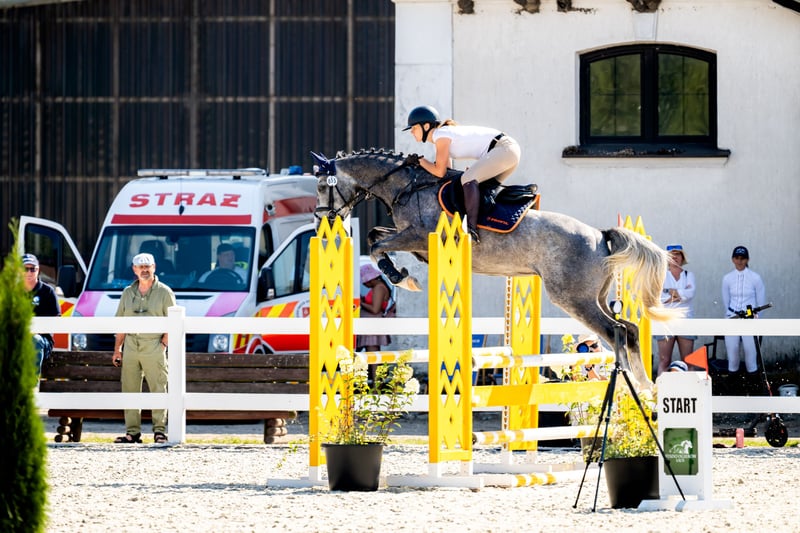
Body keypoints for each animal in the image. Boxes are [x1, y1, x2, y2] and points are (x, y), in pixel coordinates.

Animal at [312, 148, 676, 387]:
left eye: (320, 186)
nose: (322, 220)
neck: (407, 186)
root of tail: (600, 235)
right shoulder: (413, 241)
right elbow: (375, 235)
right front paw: (401, 275)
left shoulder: (416, 235)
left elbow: (376, 244)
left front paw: (401, 278)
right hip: (595, 296)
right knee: (629, 328)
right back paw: (646, 388)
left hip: (574, 299)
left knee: (615, 332)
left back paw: (633, 384)